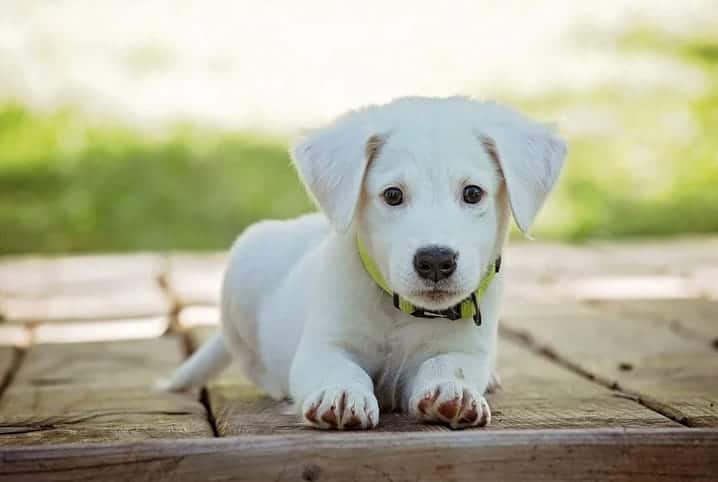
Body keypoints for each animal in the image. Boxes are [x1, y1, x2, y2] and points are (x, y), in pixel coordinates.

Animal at [162, 95, 568, 430]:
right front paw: (341, 395)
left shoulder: (464, 349)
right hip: (243, 271)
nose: (435, 260)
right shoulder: (323, 346)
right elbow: (339, 368)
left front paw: (453, 391)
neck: (400, 311)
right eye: (392, 195)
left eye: (472, 193)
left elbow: (448, 365)